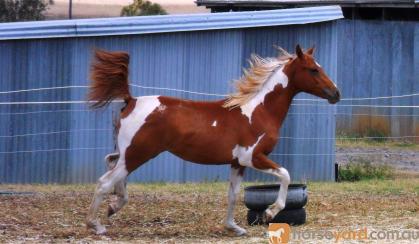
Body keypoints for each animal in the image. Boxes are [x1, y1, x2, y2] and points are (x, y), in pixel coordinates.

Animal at [86, 44, 342, 235]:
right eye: (313, 70)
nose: (336, 94)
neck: (258, 111)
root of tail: (131, 100)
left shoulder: (237, 163)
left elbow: (233, 195)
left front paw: (234, 227)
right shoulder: (253, 157)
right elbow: (286, 175)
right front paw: (269, 212)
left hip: (128, 152)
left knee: (111, 163)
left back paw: (114, 206)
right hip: (138, 154)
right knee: (104, 182)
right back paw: (96, 224)